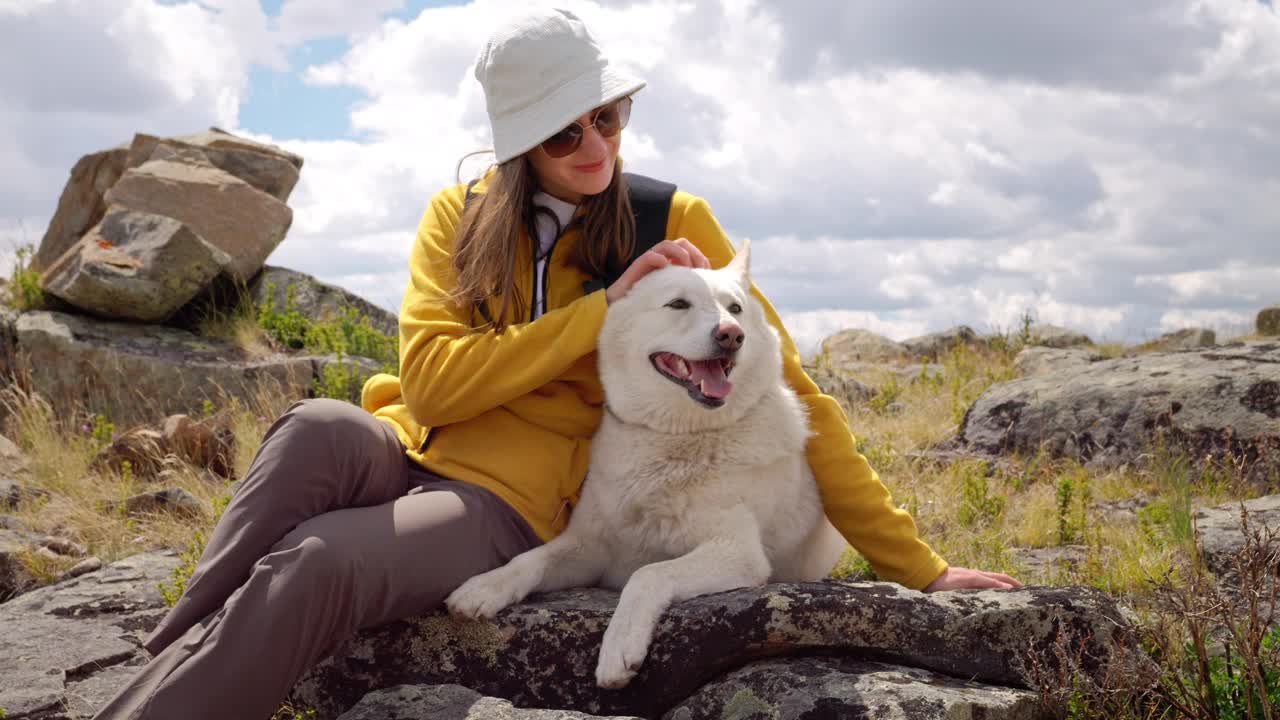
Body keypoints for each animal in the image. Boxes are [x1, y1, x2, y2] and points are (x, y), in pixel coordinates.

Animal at [445, 238, 844, 686]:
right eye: (678, 304)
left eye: (735, 308)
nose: (731, 335)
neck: (676, 438)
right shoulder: (590, 546)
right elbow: (531, 558)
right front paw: (486, 587)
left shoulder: (737, 552)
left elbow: (648, 573)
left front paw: (619, 648)